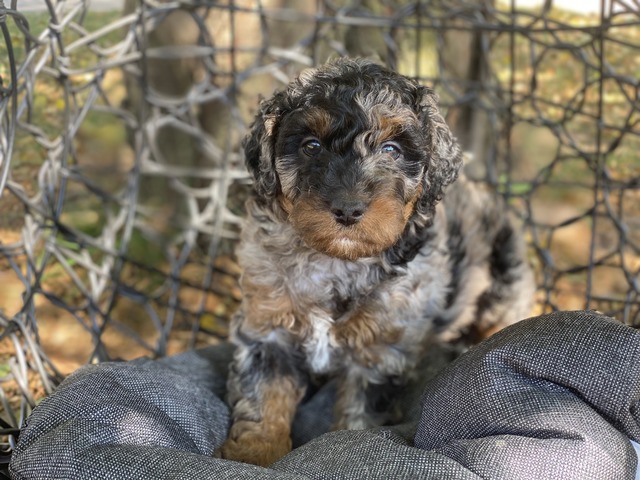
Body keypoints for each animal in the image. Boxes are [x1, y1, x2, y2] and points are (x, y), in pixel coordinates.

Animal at [220, 58, 535, 466]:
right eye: (311, 146)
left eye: (392, 149)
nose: (348, 209)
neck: (338, 261)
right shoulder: (267, 330)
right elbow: (264, 396)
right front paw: (253, 454)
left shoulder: (382, 350)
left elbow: (359, 414)